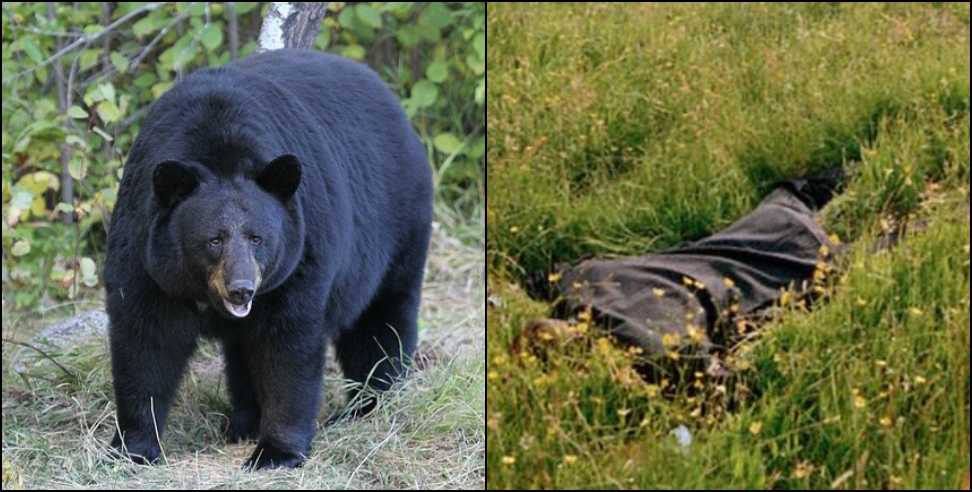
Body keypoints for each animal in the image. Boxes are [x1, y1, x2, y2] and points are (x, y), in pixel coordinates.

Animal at [103, 48, 433, 470]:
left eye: (257, 238)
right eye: (214, 240)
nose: (241, 289)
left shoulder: (299, 258)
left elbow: (287, 346)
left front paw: (275, 452)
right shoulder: (145, 253)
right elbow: (145, 340)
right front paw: (134, 447)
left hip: (396, 229)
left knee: (380, 322)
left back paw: (370, 404)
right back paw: (243, 423)